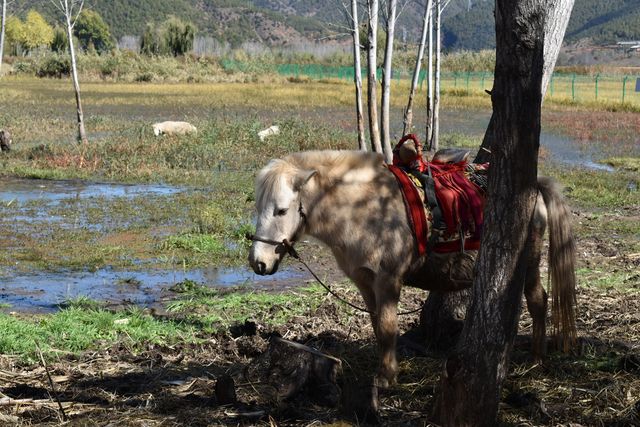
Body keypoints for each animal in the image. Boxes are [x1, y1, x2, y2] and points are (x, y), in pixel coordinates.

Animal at [248, 150, 576, 388]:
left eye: (281, 210)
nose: (258, 263)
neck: (362, 208)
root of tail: (534, 187)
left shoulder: (388, 279)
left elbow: (388, 326)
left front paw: (387, 378)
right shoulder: (365, 282)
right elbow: (378, 325)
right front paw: (386, 369)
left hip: (529, 261)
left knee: (537, 300)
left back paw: (536, 359)